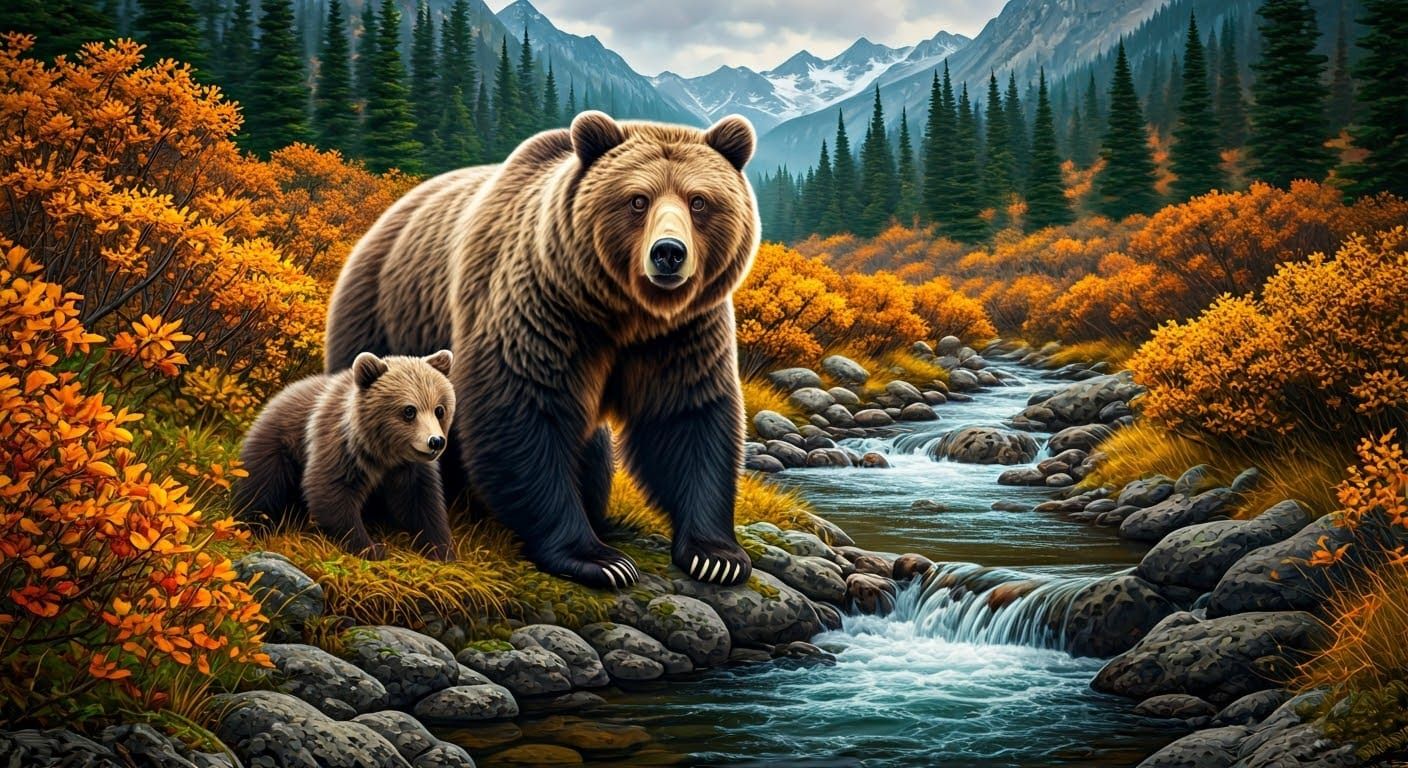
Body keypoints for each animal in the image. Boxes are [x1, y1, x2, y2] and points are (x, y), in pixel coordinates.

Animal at [234, 350, 457, 561]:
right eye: (409, 410)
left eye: (439, 410)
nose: (436, 441)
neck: (385, 454)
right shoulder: (342, 448)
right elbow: (330, 491)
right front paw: (372, 548)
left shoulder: (410, 468)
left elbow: (422, 502)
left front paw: (442, 550)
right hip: (278, 446)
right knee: (261, 486)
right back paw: (253, 525)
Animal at [322, 111, 760, 589]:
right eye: (637, 200)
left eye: (698, 201)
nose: (668, 253)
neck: (625, 311)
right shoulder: (543, 307)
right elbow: (522, 410)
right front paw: (599, 558)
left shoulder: (683, 333)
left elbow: (687, 415)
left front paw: (716, 555)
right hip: (384, 317)